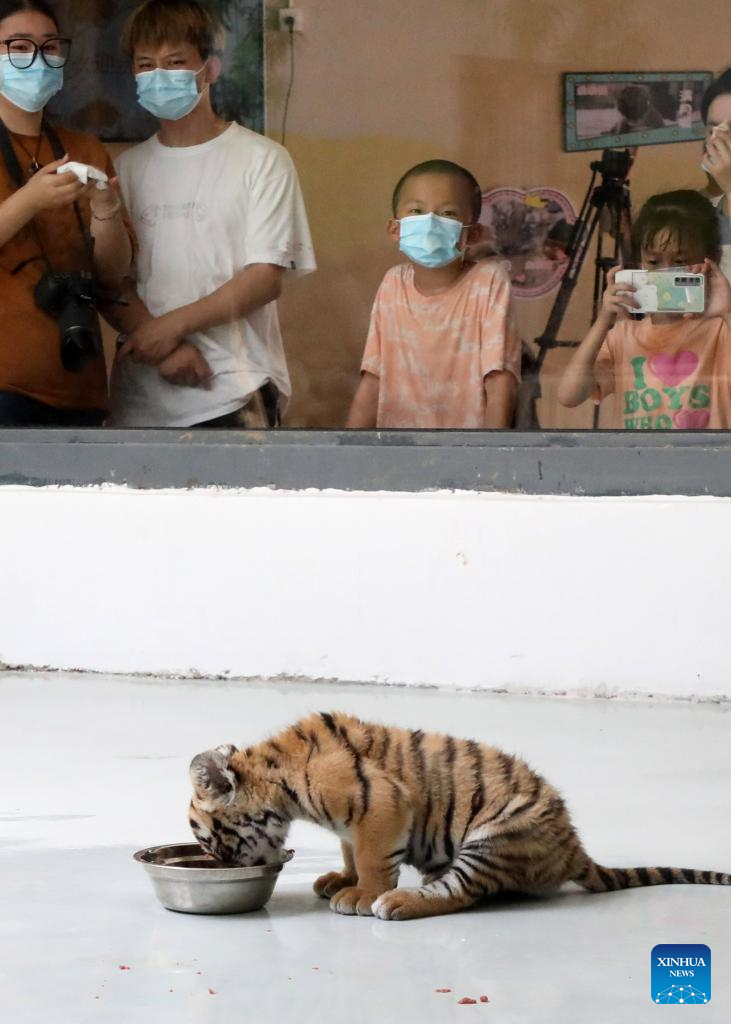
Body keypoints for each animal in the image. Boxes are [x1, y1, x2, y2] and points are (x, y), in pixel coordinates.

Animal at [188, 711, 730, 921]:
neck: (280, 782)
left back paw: (396, 902)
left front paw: (360, 894)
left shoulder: (381, 803)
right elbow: (349, 850)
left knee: (460, 892)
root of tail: (575, 847)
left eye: (214, 843)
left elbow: (371, 857)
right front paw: (339, 878)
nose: (227, 869)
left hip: (498, 834)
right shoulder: (350, 820)